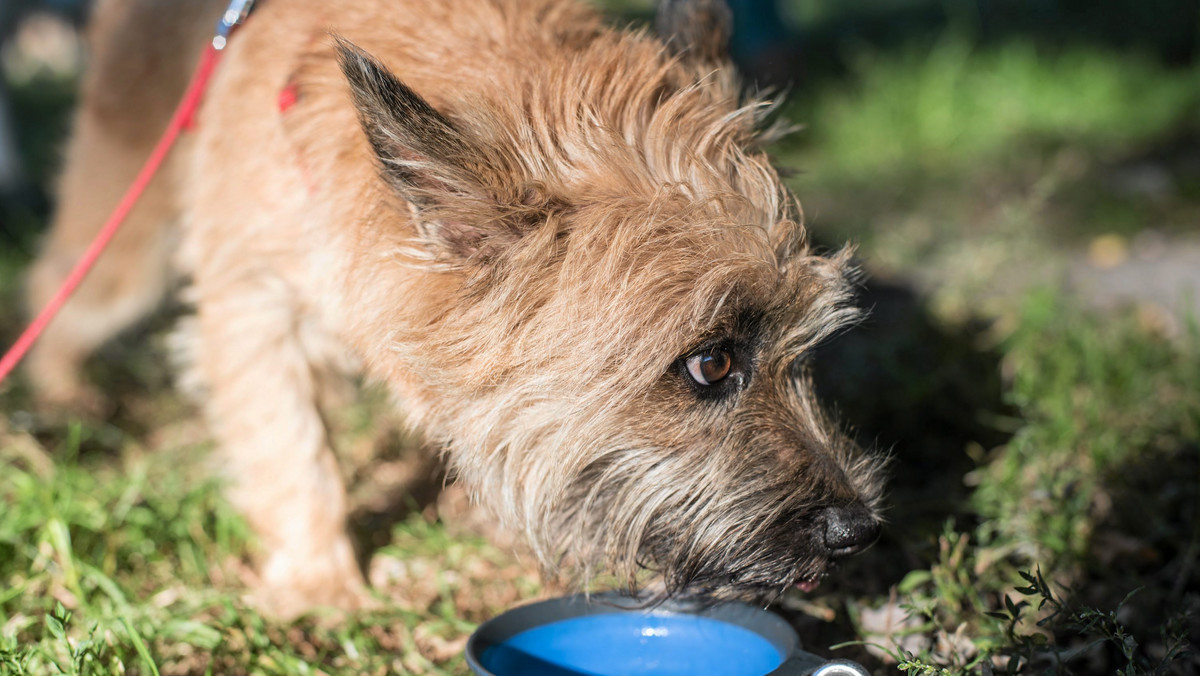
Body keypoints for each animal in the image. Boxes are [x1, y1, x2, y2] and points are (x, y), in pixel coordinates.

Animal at [23, 0, 888, 614]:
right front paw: (320, 587)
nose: (859, 532)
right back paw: (58, 403)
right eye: (710, 364)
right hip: (123, 241)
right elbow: (290, 444)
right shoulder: (251, 302)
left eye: (806, 350)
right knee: (54, 286)